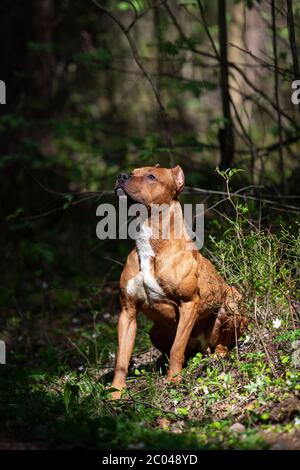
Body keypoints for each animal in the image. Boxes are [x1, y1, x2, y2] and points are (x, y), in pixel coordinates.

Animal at [111, 167, 247, 398]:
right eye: (133, 171)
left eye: (151, 176)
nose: (122, 176)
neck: (151, 240)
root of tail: (203, 346)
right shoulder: (127, 312)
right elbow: (121, 359)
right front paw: (114, 393)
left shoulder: (189, 303)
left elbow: (177, 348)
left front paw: (173, 380)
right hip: (155, 331)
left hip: (232, 306)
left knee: (223, 344)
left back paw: (217, 355)